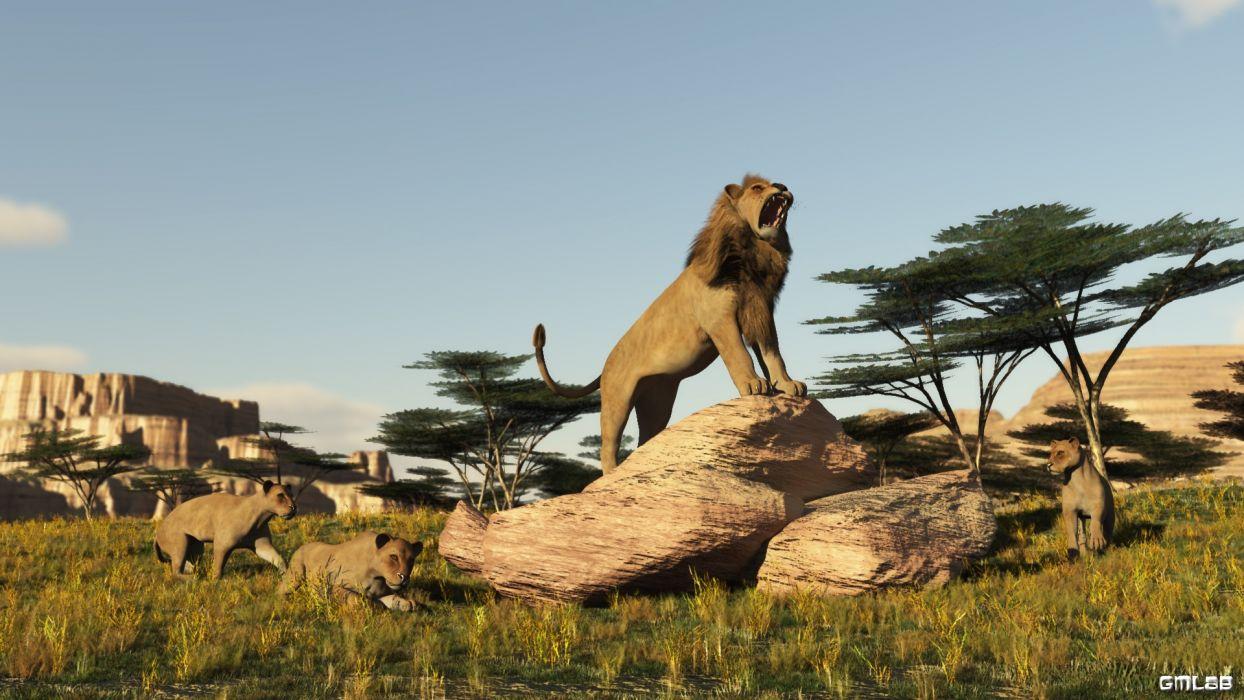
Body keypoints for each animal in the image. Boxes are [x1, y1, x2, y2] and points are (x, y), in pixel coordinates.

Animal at [154, 480, 296, 579]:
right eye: (280, 495)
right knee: (176, 571)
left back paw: (196, 574)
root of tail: (158, 531)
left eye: (291, 495)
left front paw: (287, 575)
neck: (260, 517)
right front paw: (215, 580)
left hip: (196, 547)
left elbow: (278, 558)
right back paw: (193, 578)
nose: (294, 507)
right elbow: (218, 564)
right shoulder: (222, 543)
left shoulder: (262, 545)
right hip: (180, 543)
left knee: (189, 565)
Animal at [278, 531, 423, 611]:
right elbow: (356, 598)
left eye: (411, 560)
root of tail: (300, 546)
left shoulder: (382, 593)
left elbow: (395, 599)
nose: (404, 577)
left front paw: (409, 604)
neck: (377, 576)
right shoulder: (334, 586)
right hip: (294, 578)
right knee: (279, 590)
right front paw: (375, 606)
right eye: (394, 557)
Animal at [534, 174, 805, 473]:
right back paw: (613, 474)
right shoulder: (719, 319)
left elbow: (773, 355)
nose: (782, 186)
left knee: (646, 441)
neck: (750, 254)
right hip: (617, 400)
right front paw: (753, 384)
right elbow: (739, 354)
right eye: (758, 188)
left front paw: (787, 385)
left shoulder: (759, 313)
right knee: (608, 444)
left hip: (657, 399)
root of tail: (604, 367)